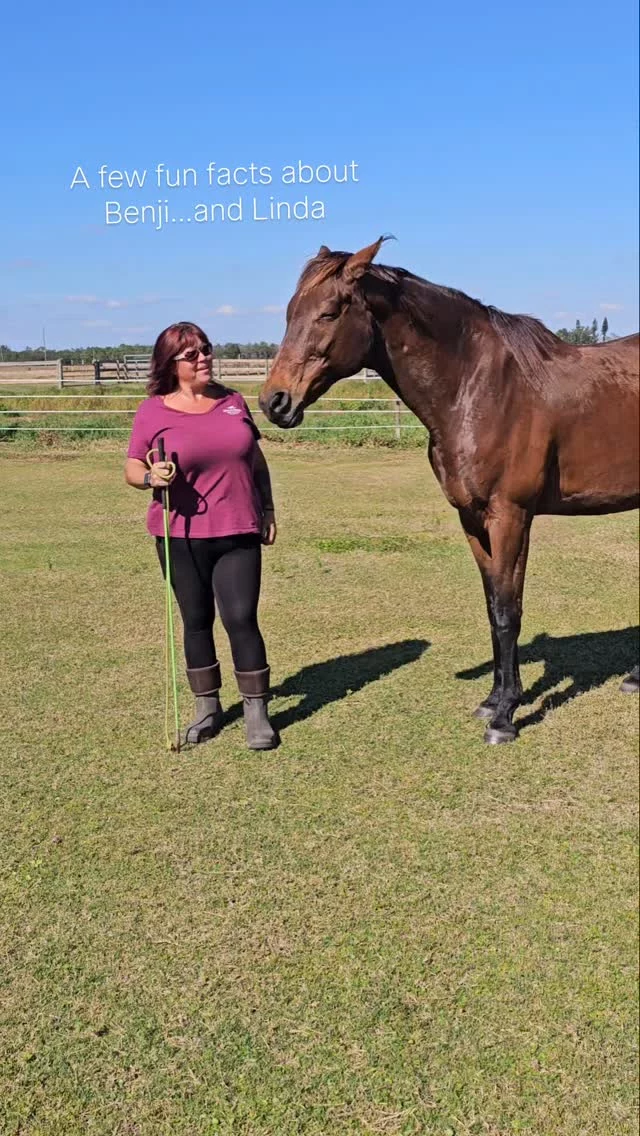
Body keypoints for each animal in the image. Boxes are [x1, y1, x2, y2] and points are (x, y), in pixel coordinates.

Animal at [258, 237, 639, 743]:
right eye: (288, 312)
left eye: (330, 312)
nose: (274, 402)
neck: (477, 389)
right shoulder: (473, 519)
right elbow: (493, 607)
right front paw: (495, 700)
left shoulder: (510, 516)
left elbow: (508, 611)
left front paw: (505, 719)